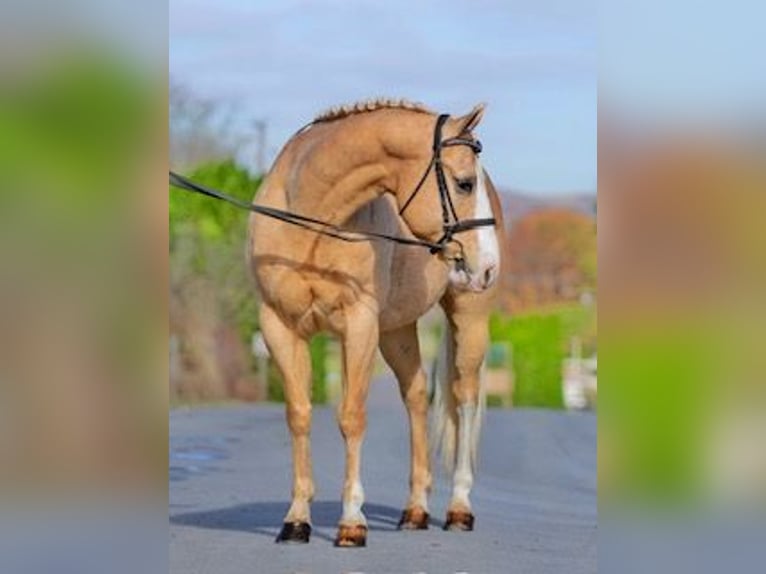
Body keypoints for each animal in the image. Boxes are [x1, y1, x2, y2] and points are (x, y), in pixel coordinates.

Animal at [248, 99, 504, 547]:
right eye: (464, 184)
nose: (489, 266)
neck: (308, 219)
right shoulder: (279, 325)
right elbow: (299, 415)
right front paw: (296, 520)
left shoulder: (359, 324)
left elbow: (352, 417)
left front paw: (352, 521)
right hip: (396, 330)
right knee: (417, 396)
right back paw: (415, 510)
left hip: (468, 319)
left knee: (465, 398)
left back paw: (459, 509)